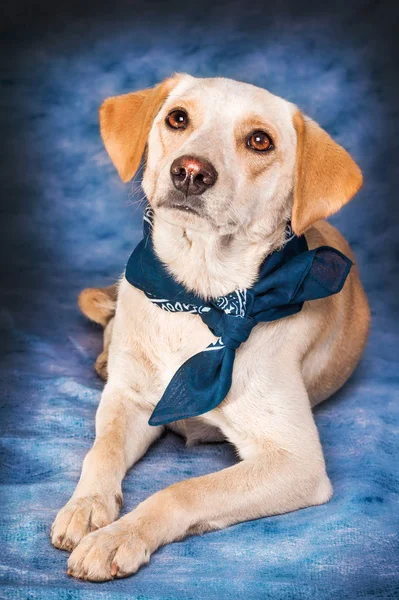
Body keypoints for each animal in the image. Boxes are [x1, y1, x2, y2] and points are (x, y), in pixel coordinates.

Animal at [50, 72, 372, 580]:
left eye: (260, 140)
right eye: (177, 118)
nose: (190, 171)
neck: (198, 298)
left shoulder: (296, 462)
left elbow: (184, 491)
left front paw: (118, 537)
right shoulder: (130, 400)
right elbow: (102, 449)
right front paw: (86, 506)